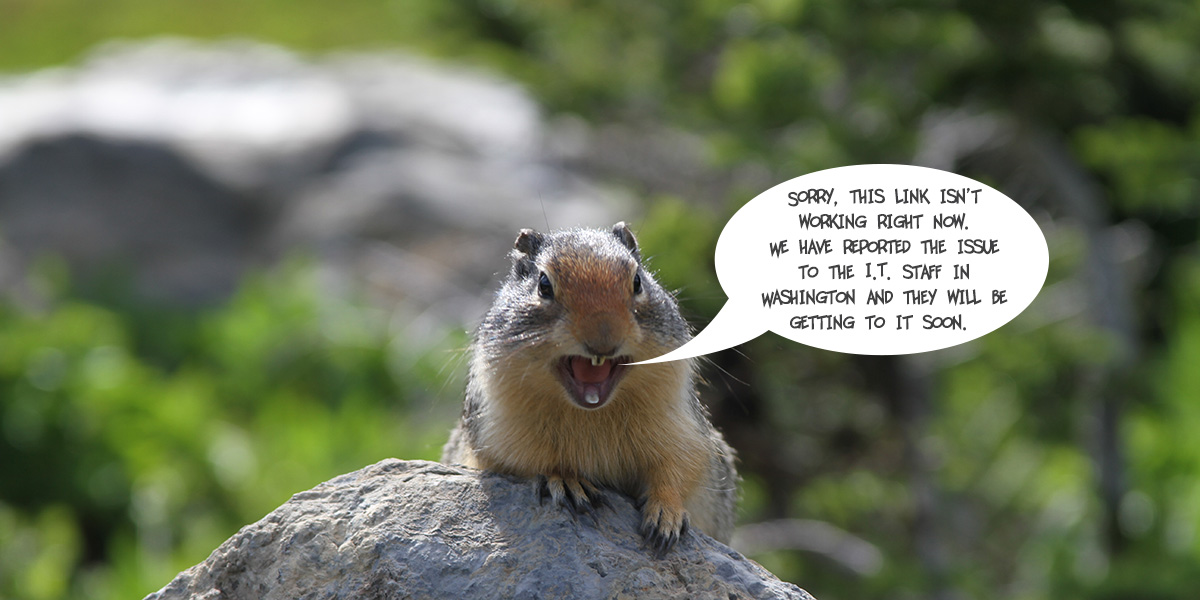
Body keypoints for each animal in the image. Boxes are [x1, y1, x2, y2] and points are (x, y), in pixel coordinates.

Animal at [442, 222, 738, 553]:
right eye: (544, 284)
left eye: (638, 281)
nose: (603, 339)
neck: (591, 414)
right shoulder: (497, 433)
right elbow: (529, 460)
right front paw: (566, 480)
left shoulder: (683, 428)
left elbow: (679, 469)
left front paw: (666, 514)